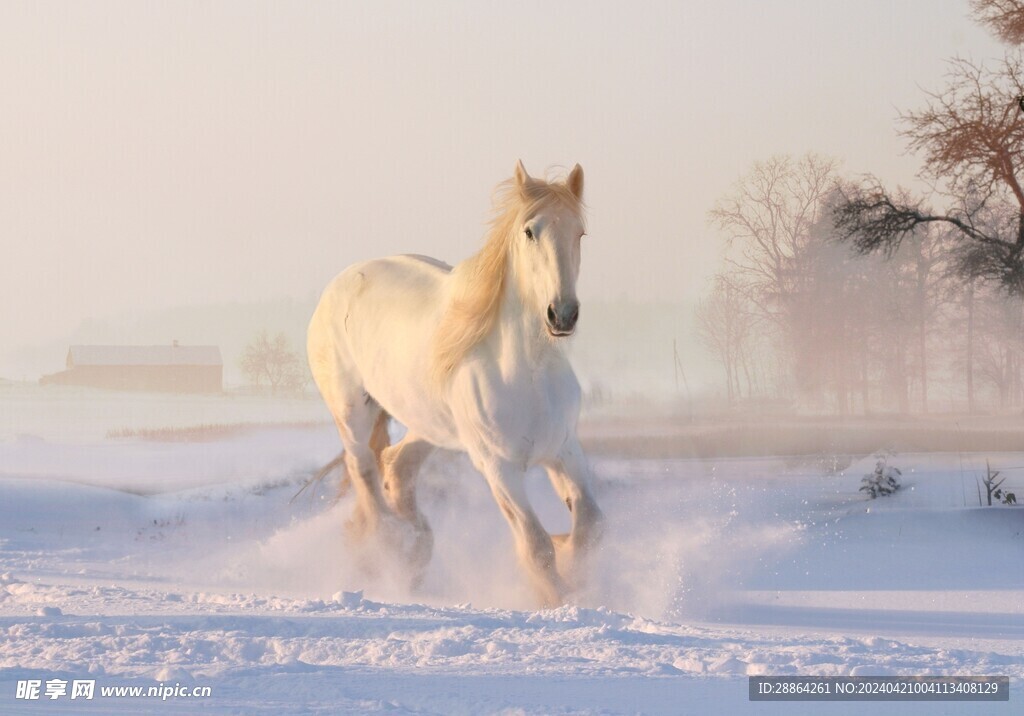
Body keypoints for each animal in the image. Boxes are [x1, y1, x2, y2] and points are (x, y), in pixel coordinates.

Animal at [307, 162, 602, 606]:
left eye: (579, 232)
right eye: (529, 231)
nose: (562, 314)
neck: (527, 373)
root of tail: (337, 285)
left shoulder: (564, 450)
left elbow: (589, 526)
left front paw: (573, 570)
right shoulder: (498, 468)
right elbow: (536, 546)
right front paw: (557, 598)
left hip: (430, 425)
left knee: (396, 466)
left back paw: (415, 551)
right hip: (352, 411)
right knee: (364, 472)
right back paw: (390, 550)